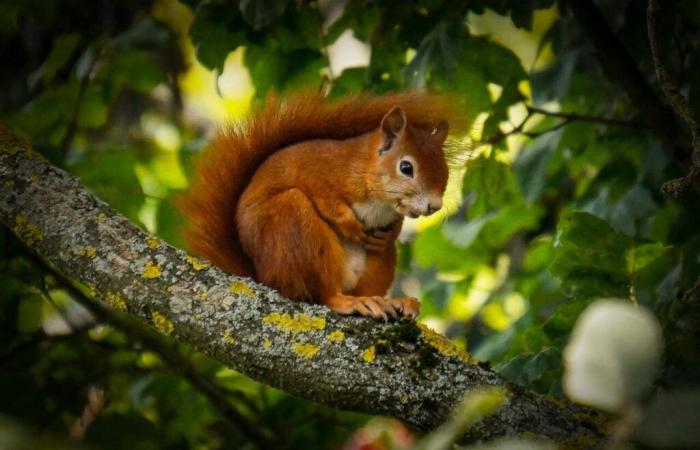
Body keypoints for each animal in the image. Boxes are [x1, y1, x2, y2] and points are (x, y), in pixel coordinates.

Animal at [182, 92, 460, 320]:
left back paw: (388, 300)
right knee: (322, 295)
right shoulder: (314, 170)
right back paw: (351, 302)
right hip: (294, 227)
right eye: (406, 167)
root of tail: (263, 277)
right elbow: (327, 201)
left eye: (445, 171)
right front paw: (350, 225)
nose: (434, 206)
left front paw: (389, 233)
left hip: (378, 264)